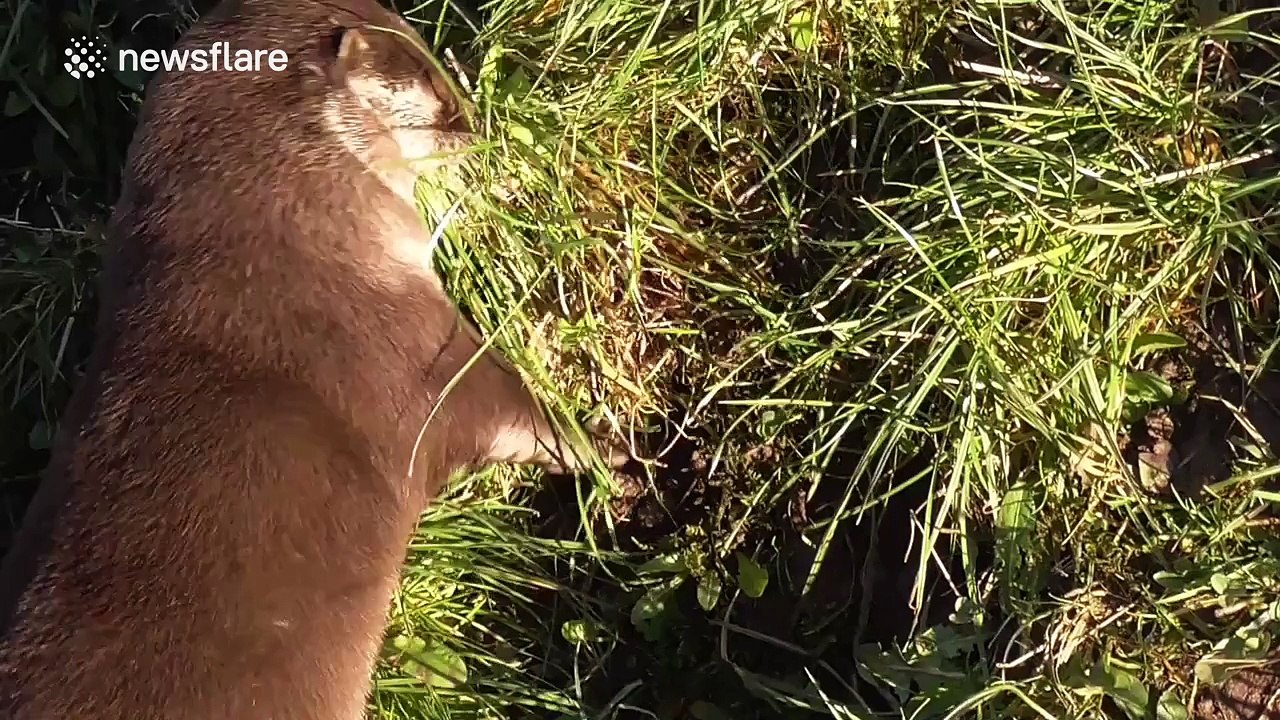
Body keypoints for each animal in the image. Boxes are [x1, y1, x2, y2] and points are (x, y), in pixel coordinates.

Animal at [0, 0, 630, 718]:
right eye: (439, 96)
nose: (476, 128)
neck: (281, 255)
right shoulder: (417, 354)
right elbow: (522, 417)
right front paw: (614, 455)